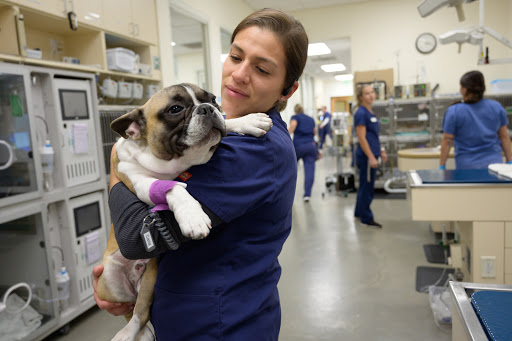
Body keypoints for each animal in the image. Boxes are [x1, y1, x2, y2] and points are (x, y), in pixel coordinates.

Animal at [96, 83, 272, 340]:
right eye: (175, 109)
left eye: (213, 99)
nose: (207, 108)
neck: (173, 164)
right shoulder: (139, 181)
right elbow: (172, 188)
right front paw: (193, 216)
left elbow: (226, 123)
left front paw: (247, 121)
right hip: (108, 284)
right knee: (131, 311)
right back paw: (129, 333)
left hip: (150, 276)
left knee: (140, 309)